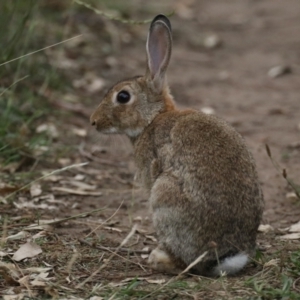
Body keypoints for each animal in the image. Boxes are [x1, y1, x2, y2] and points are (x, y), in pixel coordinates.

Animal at [90, 14, 264, 276]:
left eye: (123, 97)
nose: (93, 121)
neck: (152, 118)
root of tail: (226, 256)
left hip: (163, 196)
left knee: (187, 263)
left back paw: (158, 259)